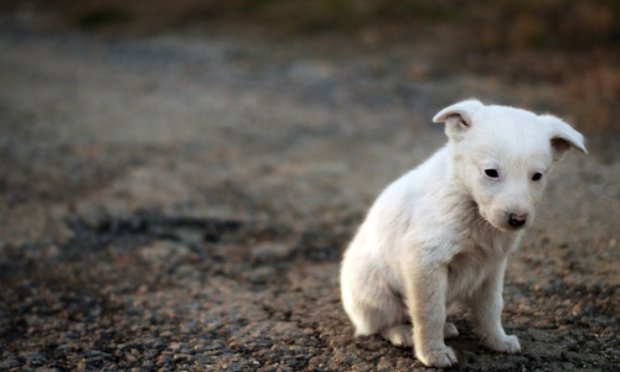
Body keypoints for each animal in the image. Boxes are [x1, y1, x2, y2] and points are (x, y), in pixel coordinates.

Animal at [340, 99, 588, 370]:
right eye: (491, 172)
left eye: (537, 176)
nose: (517, 220)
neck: (470, 206)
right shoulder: (425, 261)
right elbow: (430, 313)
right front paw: (433, 354)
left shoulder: (493, 266)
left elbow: (492, 307)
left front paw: (497, 341)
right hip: (375, 291)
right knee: (379, 324)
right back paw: (403, 333)